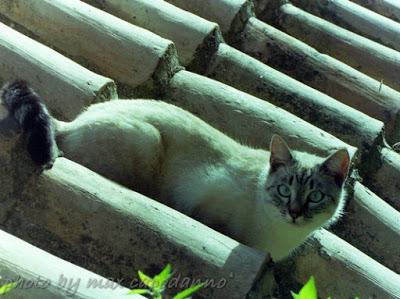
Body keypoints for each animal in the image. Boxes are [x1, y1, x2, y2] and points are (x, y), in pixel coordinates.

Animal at [1, 81, 348, 262]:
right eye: (284, 190)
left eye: (315, 196)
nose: (294, 213)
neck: (277, 238)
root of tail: (74, 121)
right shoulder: (202, 198)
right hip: (148, 139)